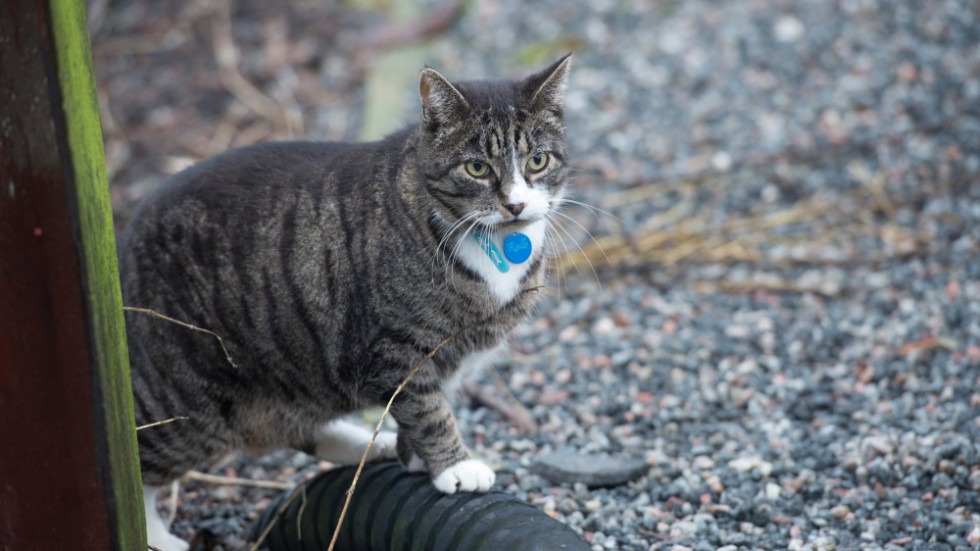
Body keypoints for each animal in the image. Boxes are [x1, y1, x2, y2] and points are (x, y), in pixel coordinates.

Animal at [120, 54, 576, 548]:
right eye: (476, 168)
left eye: (537, 160)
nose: (516, 205)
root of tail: (119, 244)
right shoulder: (395, 352)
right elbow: (430, 412)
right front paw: (454, 468)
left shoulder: (448, 359)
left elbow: (423, 409)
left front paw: (412, 457)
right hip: (181, 405)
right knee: (137, 457)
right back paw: (158, 538)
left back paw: (370, 445)